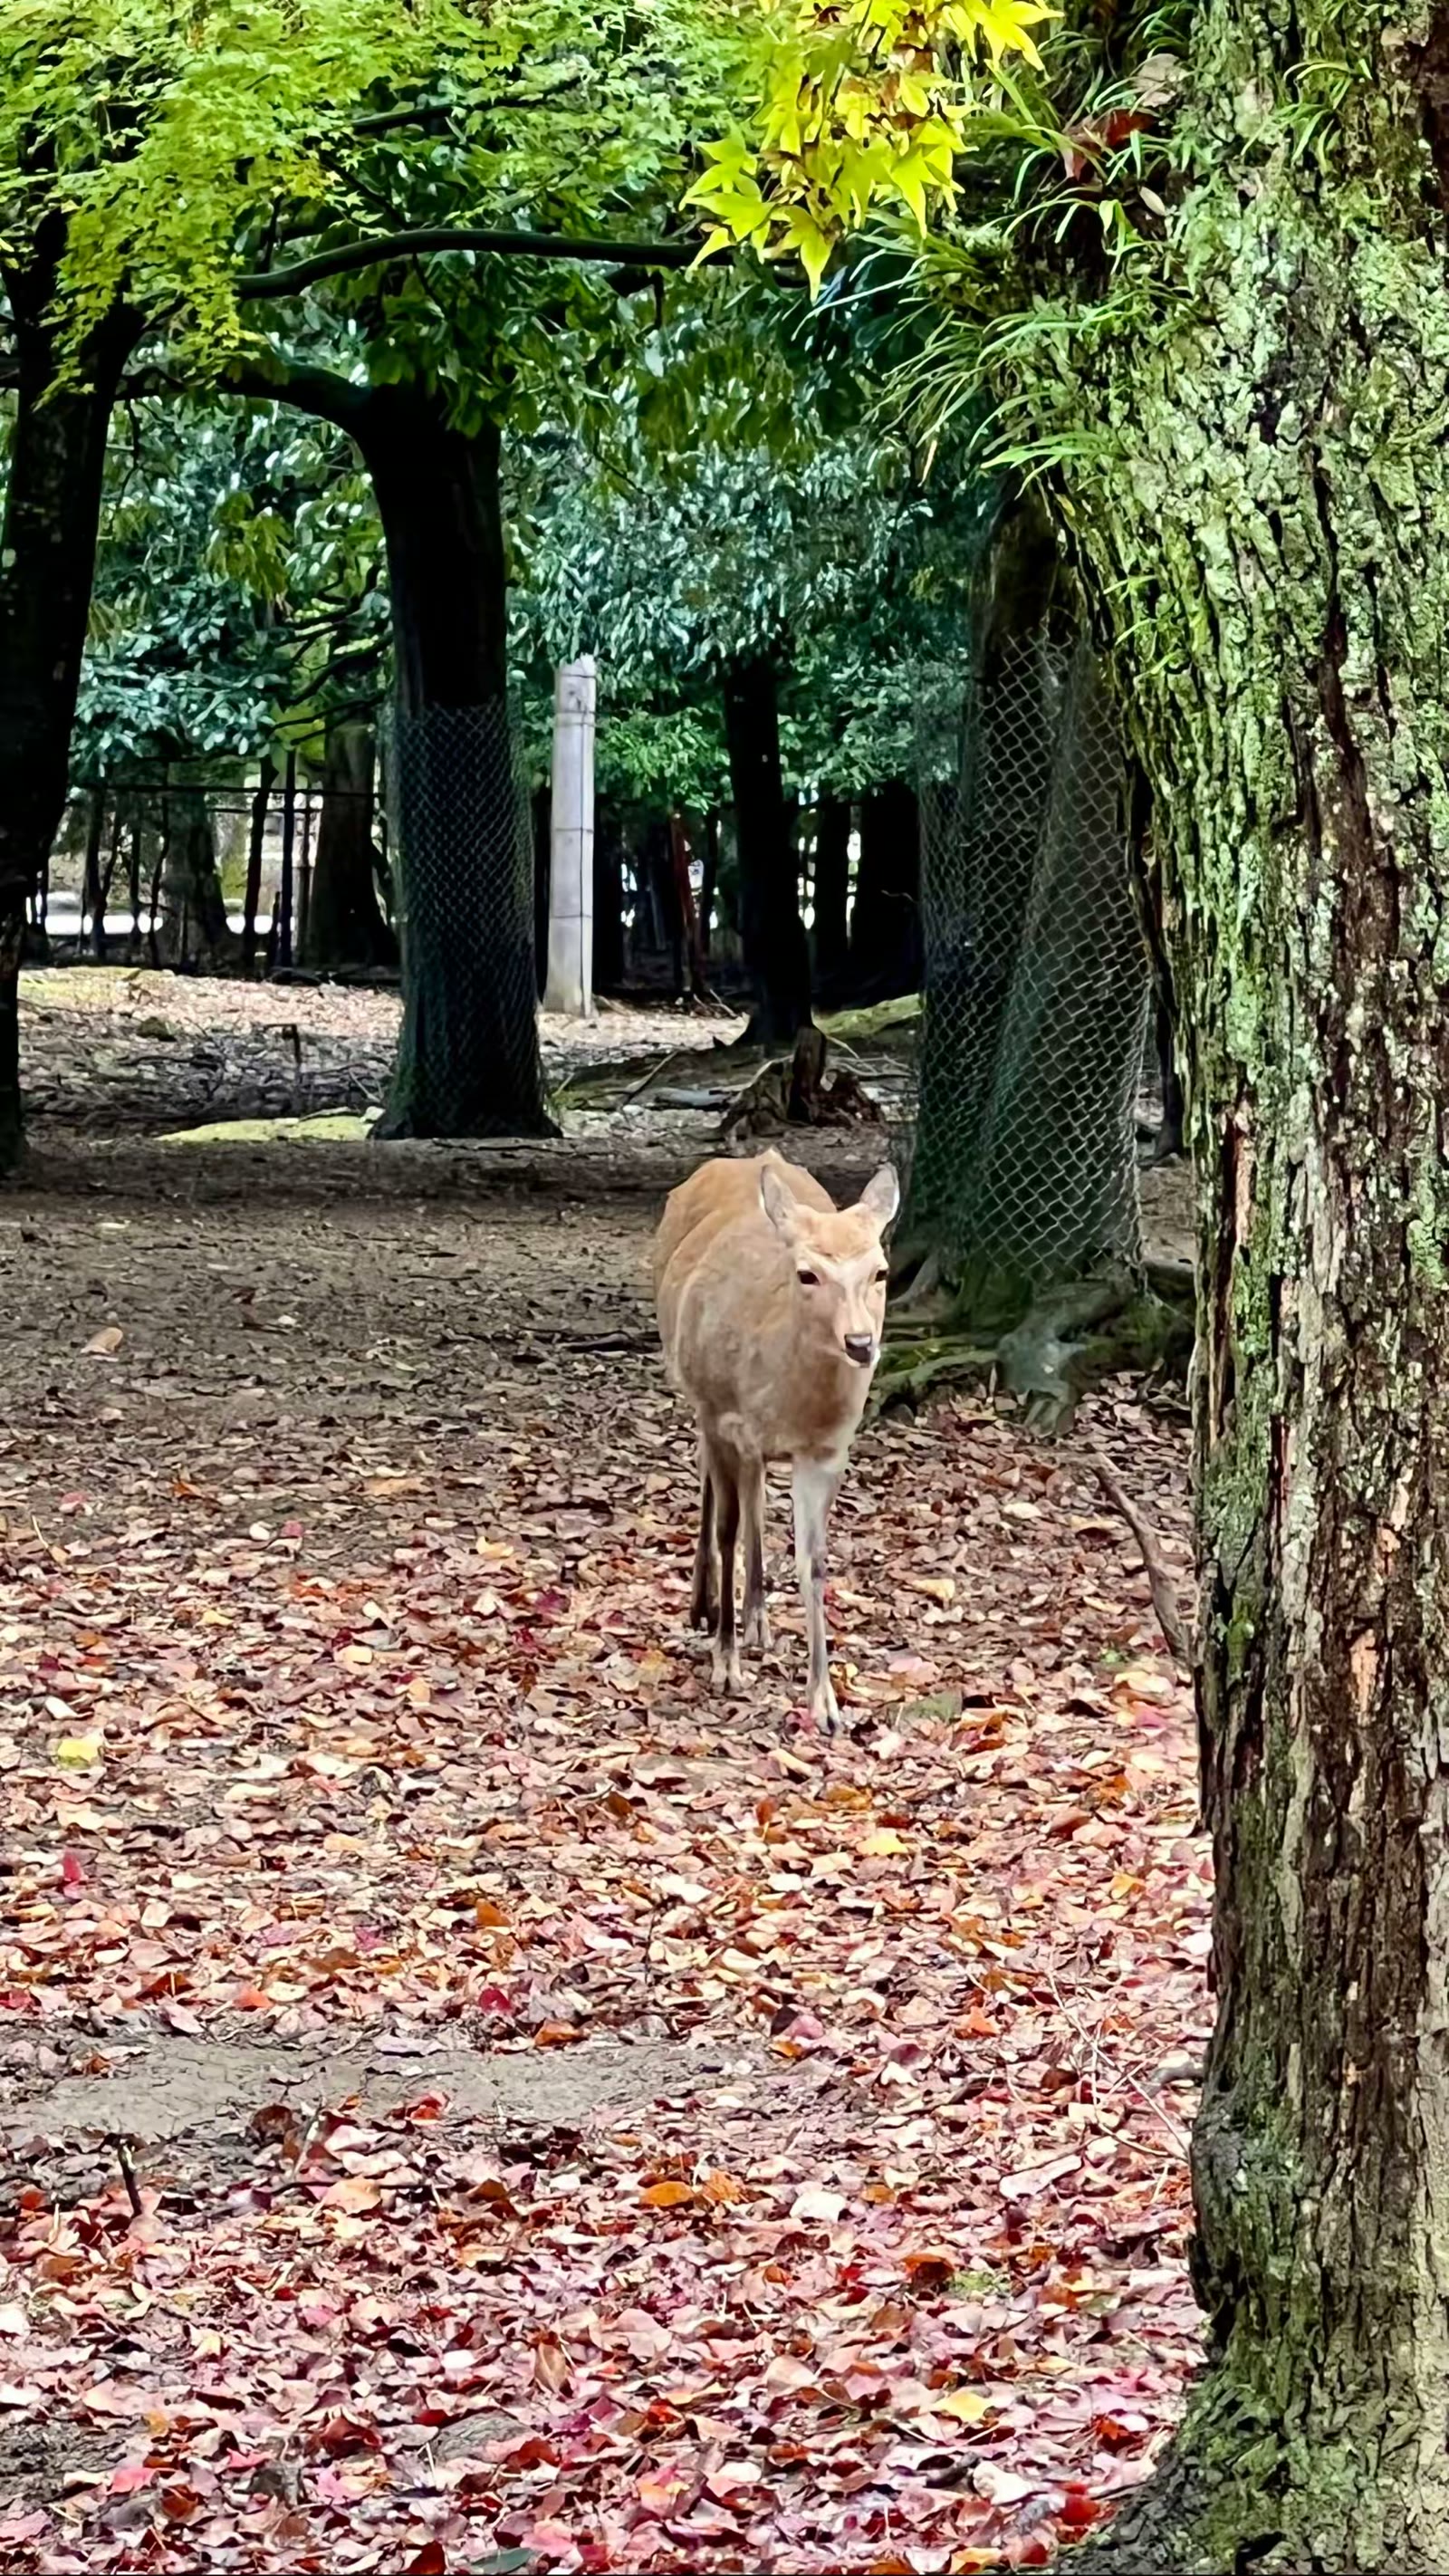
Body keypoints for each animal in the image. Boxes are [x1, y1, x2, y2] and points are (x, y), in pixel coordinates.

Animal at [652, 1148, 899, 1730]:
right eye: (808, 1273)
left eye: (880, 1270)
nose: (861, 1343)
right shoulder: (722, 1418)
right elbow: (726, 1529)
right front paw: (725, 1665)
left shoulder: (825, 1451)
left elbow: (815, 1560)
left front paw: (825, 1702)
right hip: (697, 1394)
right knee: (713, 1488)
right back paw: (704, 1605)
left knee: (756, 1497)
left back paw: (758, 1621)